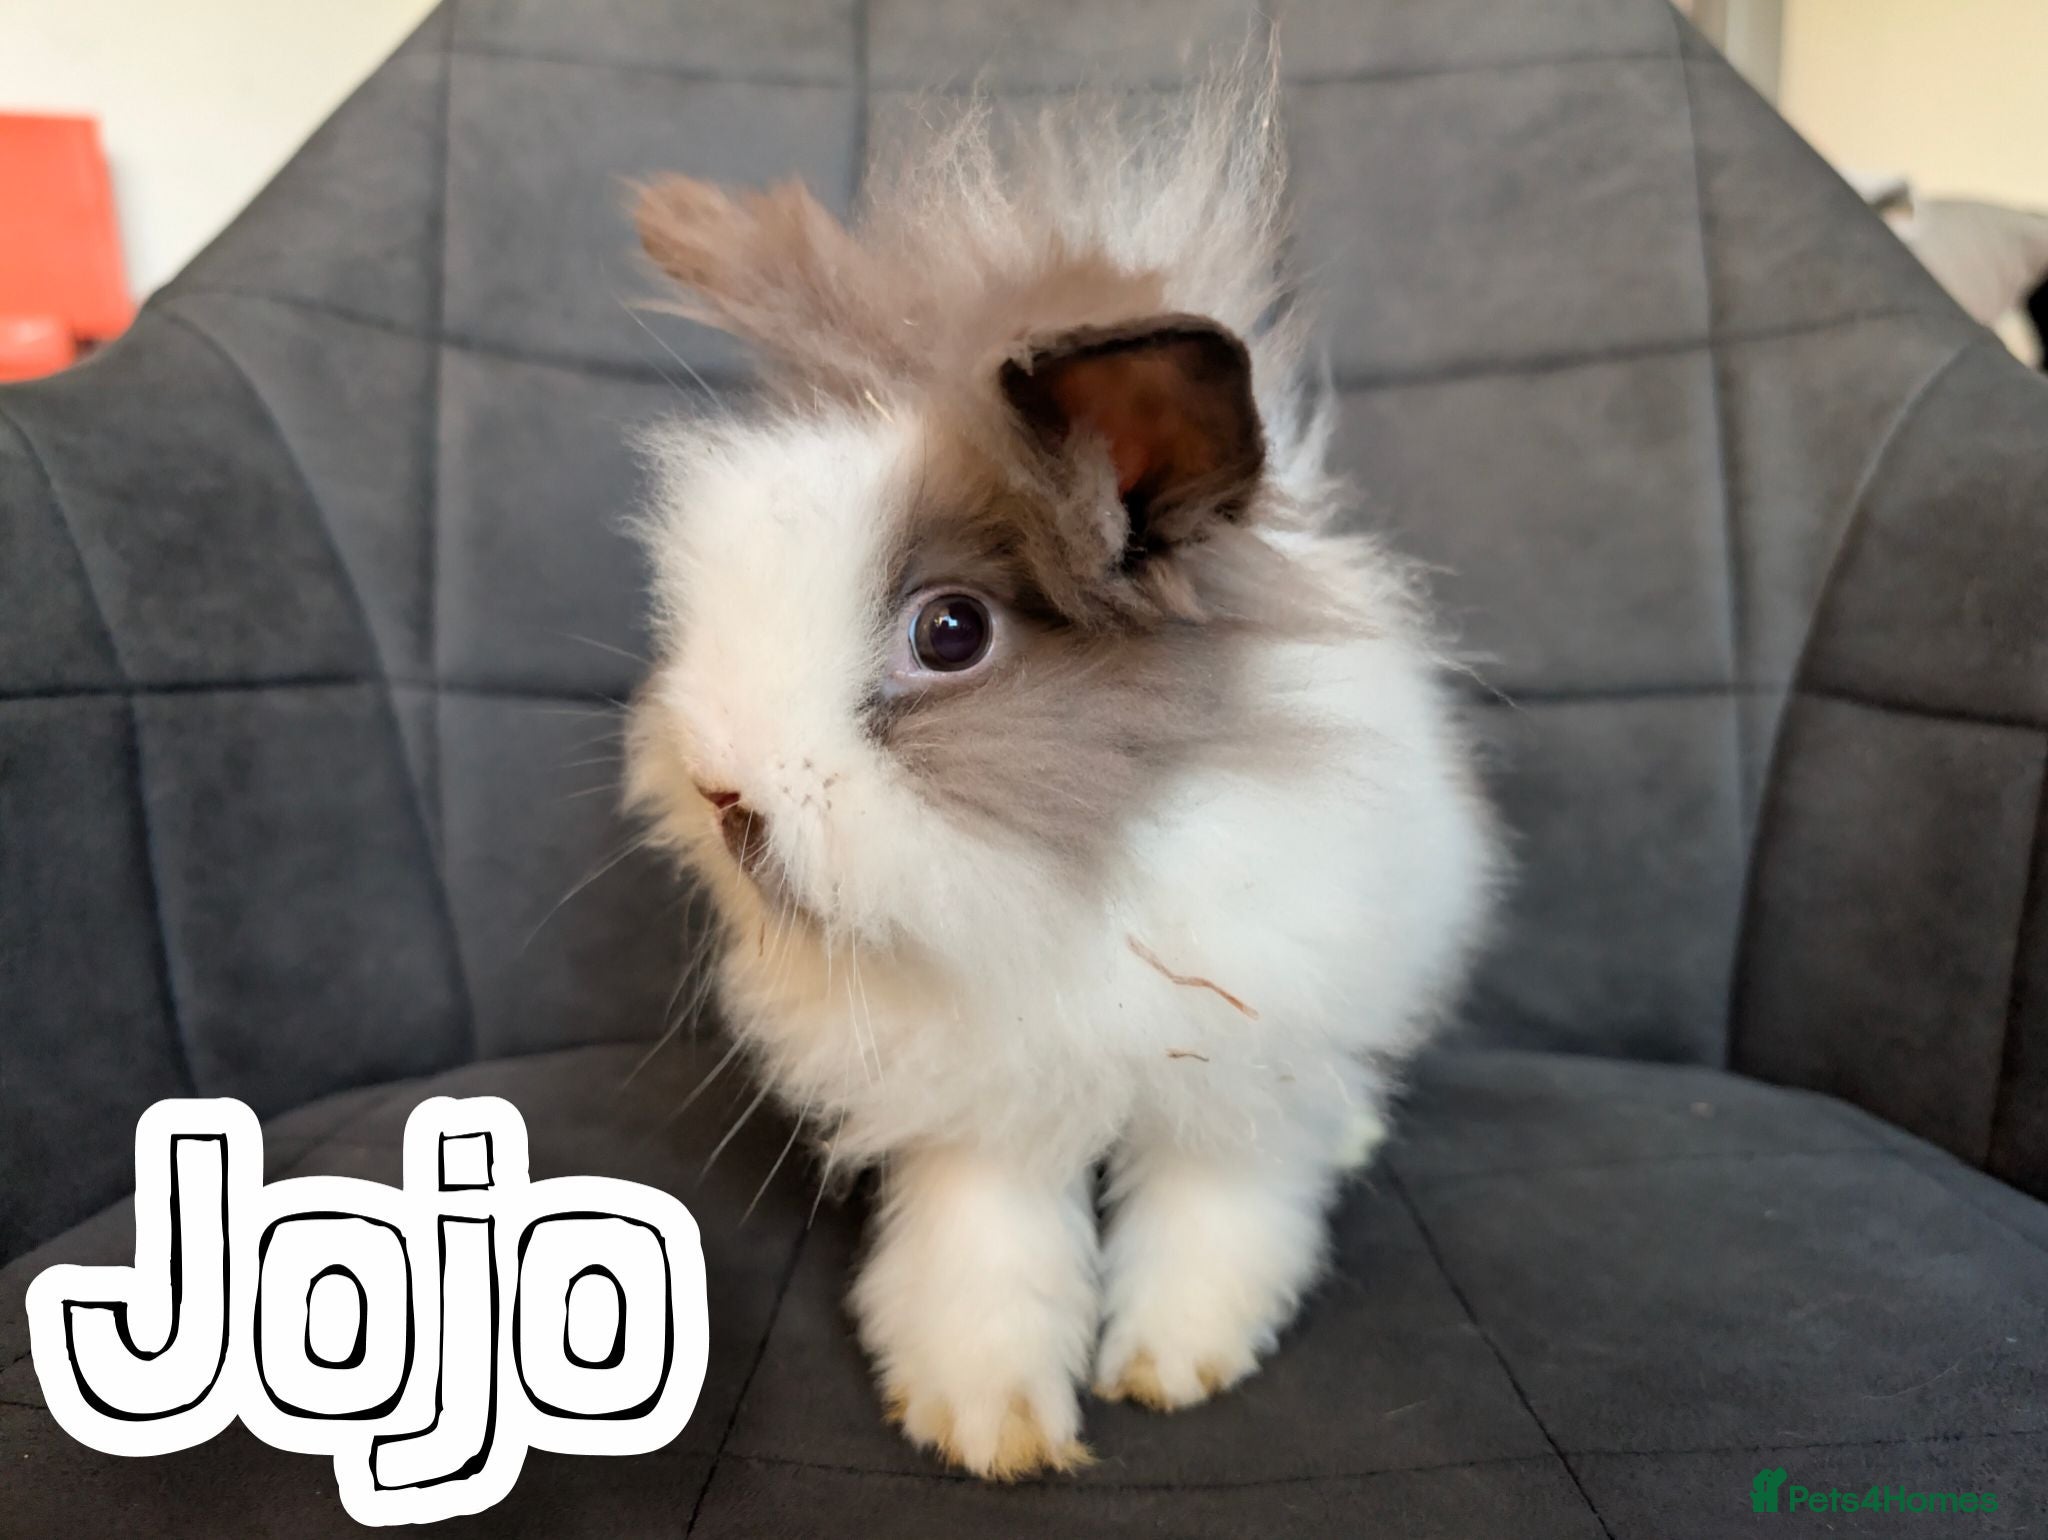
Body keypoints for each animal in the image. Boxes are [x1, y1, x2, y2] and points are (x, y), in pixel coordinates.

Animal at [622, 66, 1500, 1480]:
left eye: (950, 632)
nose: (717, 791)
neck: (1059, 884)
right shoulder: (981, 1104)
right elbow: (986, 1251)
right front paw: (984, 1418)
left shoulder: (1237, 1070)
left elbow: (1215, 1217)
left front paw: (1176, 1363)